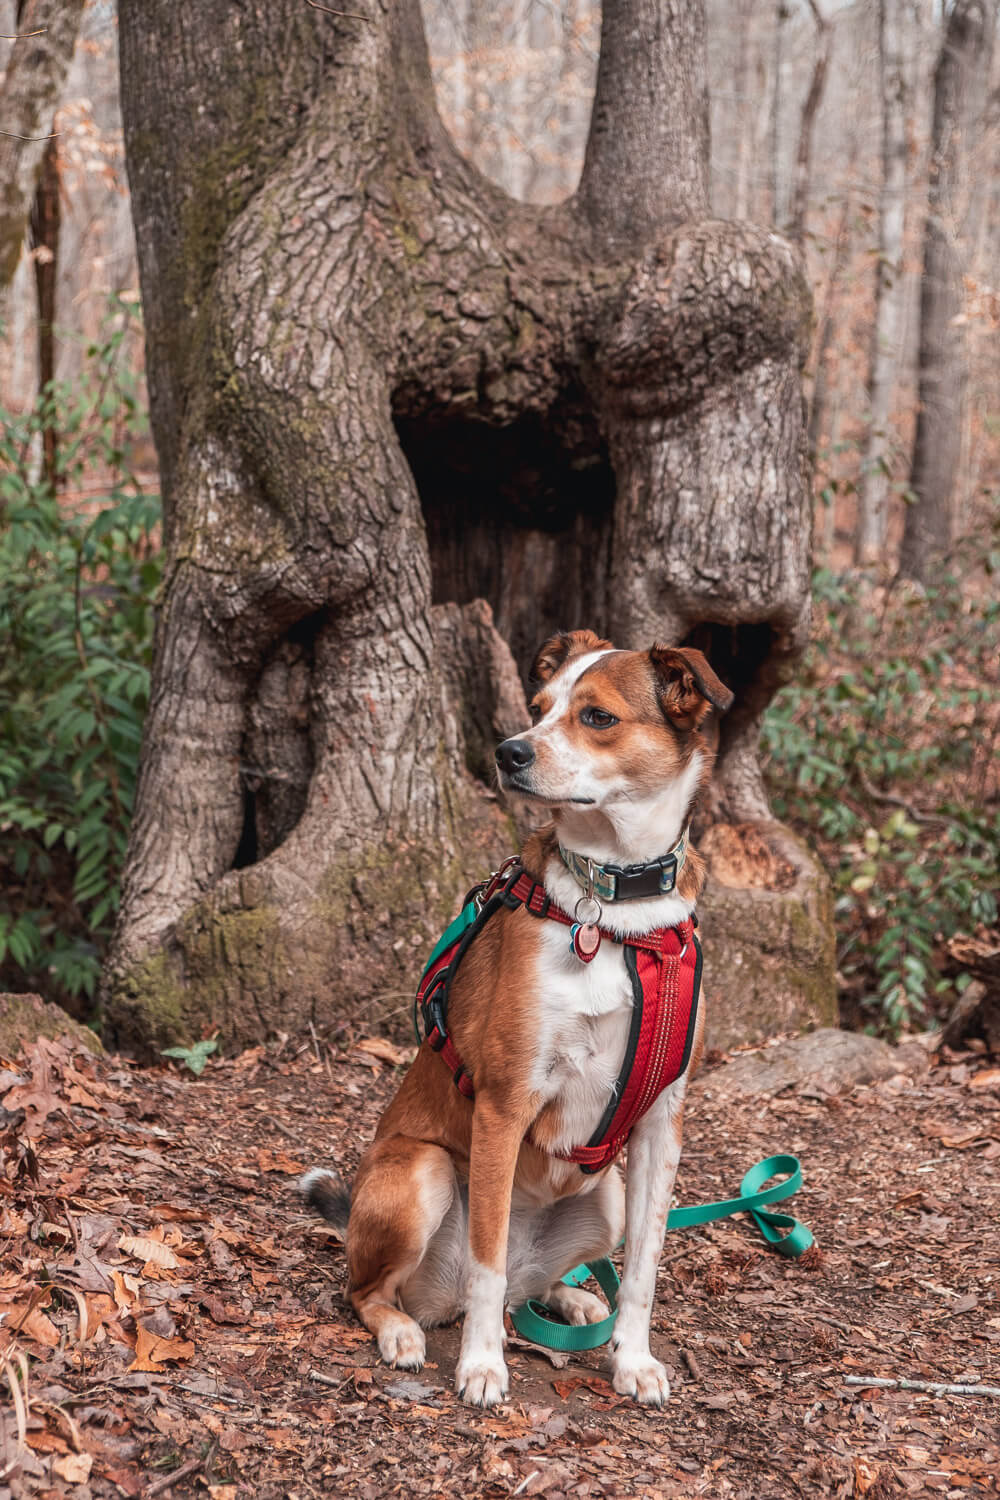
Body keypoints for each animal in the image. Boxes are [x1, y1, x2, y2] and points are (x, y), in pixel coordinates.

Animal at [301, 630, 731, 1404]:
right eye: (538, 707)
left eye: (597, 717)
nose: (509, 752)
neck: (617, 913)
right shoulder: (504, 1104)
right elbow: (487, 1258)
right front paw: (481, 1366)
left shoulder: (662, 1123)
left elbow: (644, 1269)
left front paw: (631, 1358)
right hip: (422, 1172)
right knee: (374, 1290)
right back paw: (403, 1332)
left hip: (607, 1196)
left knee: (524, 1288)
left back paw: (572, 1298)